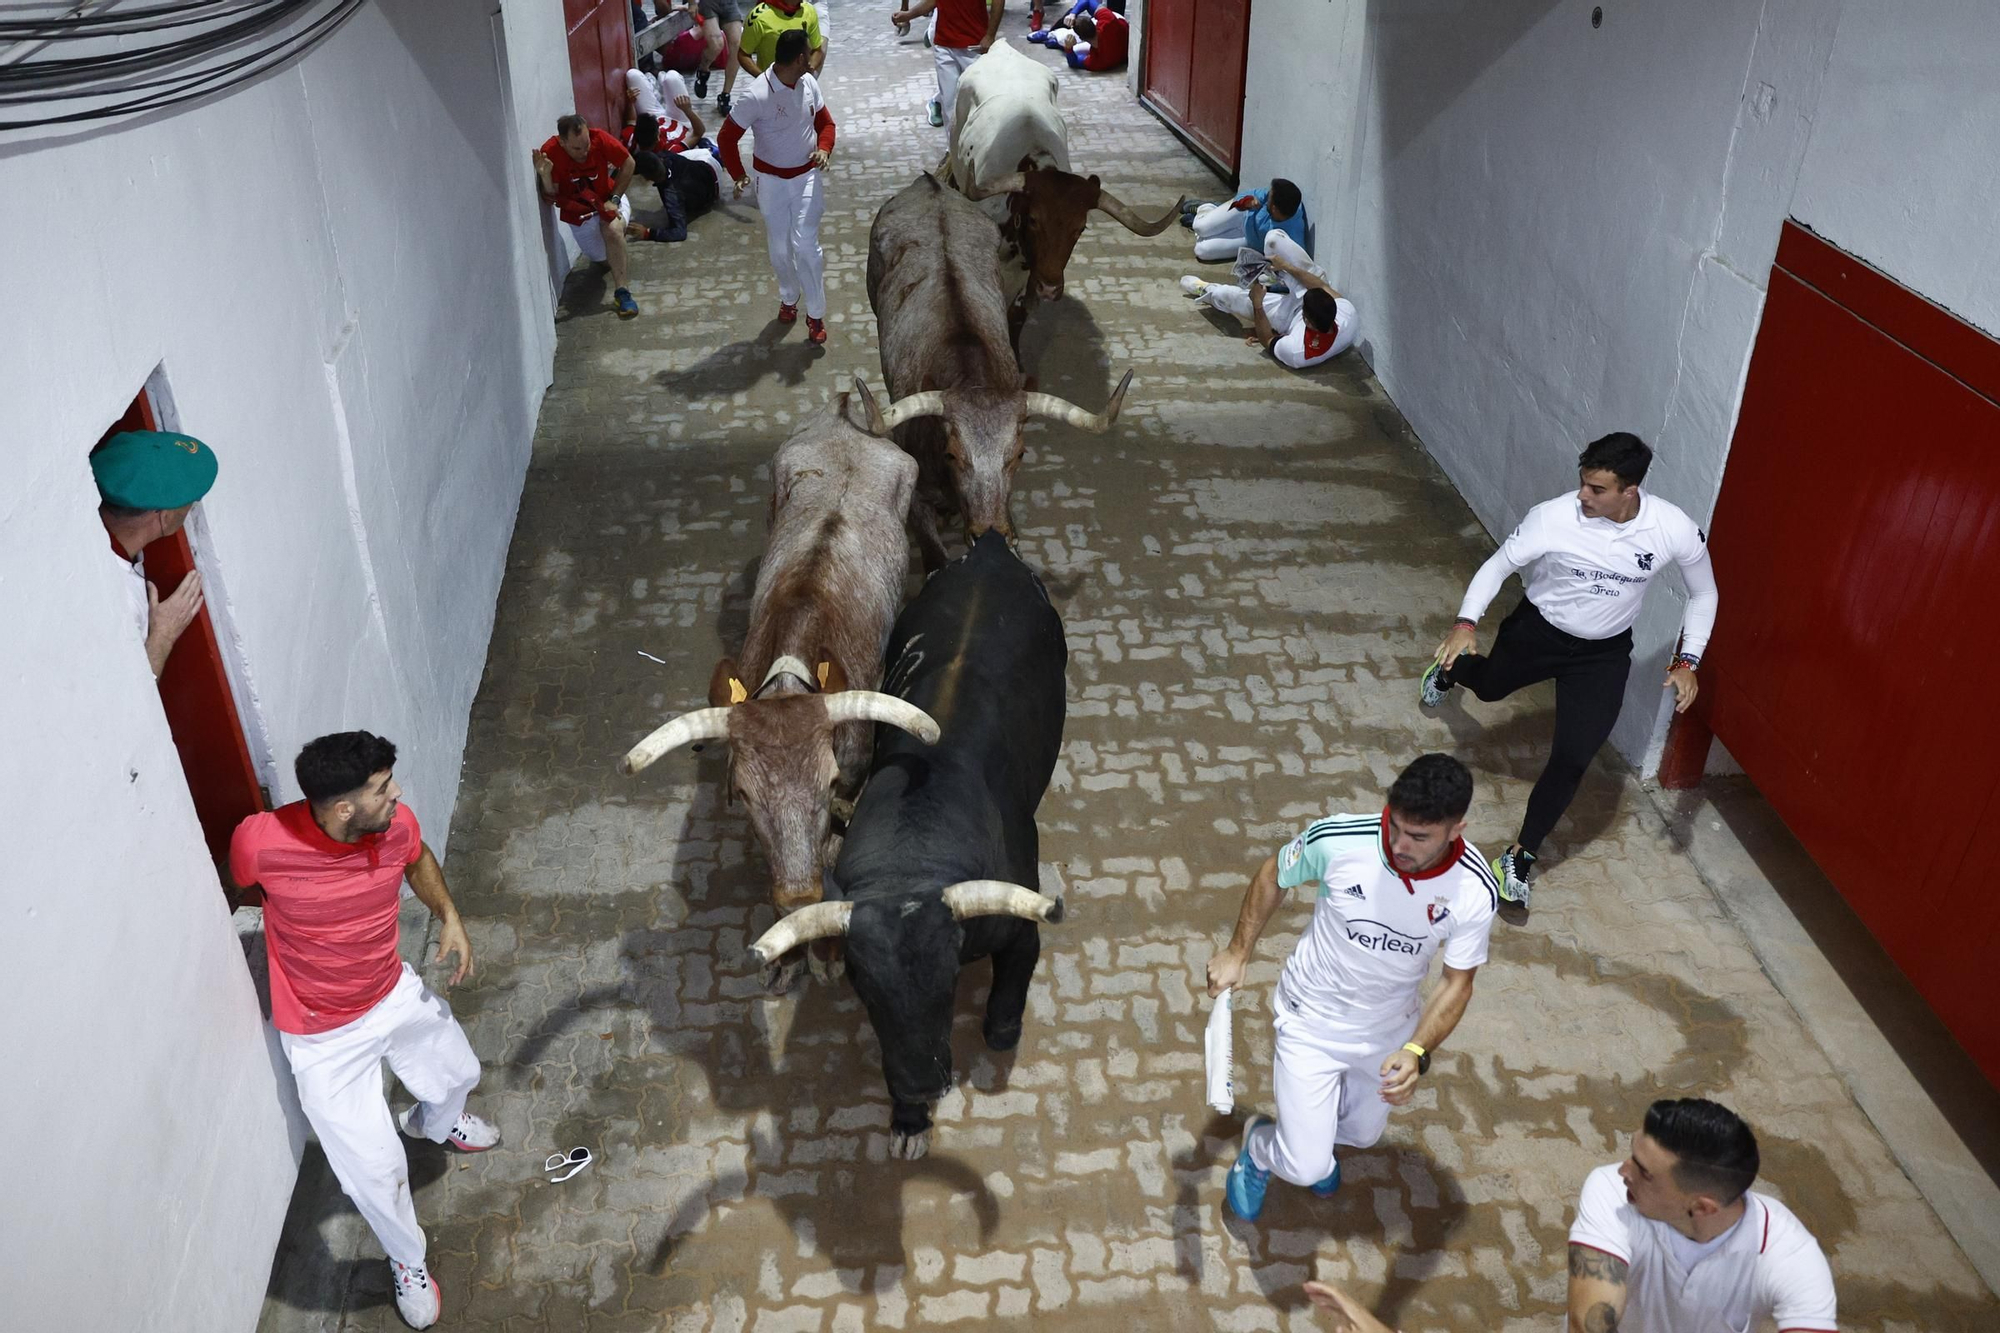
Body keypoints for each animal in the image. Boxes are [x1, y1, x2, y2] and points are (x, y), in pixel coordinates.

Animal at [752, 528, 1072, 1152]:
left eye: (948, 981)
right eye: (866, 988)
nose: (923, 1083)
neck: (912, 855)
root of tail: (989, 548)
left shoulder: (1020, 928)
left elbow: (1005, 1004)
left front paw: (999, 1032)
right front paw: (908, 1120)